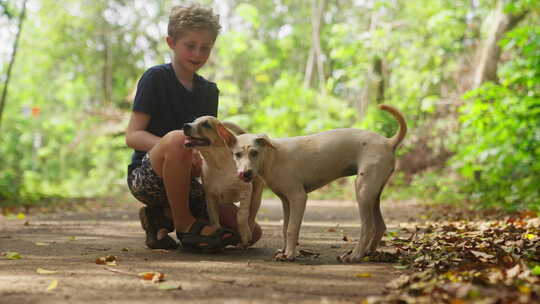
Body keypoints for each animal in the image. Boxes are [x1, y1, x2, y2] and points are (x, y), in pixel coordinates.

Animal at [182, 116, 264, 247]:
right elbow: (214, 219)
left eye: (206, 124)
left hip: (256, 197)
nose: (185, 126)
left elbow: (241, 215)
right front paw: (217, 232)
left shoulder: (246, 190)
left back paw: (247, 237)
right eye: (194, 121)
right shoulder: (210, 197)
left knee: (251, 217)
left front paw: (244, 234)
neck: (218, 164)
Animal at [218, 104, 404, 262]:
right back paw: (368, 253)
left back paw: (356, 255)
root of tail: (388, 142)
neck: (273, 157)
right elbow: (285, 228)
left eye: (255, 153)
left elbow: (292, 229)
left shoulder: (298, 197)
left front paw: (290, 255)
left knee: (368, 227)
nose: (245, 174)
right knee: (380, 226)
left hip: (363, 191)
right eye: (237, 155)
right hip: (373, 192)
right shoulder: (287, 201)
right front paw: (285, 251)